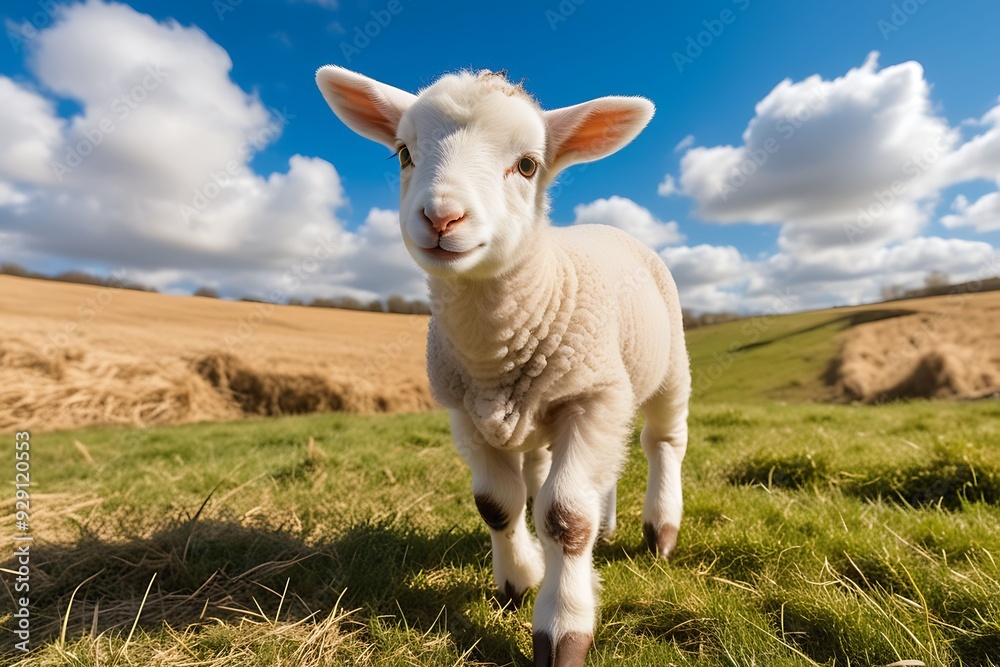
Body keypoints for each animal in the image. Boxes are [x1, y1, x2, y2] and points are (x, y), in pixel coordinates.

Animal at [316, 66, 690, 667]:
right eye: (404, 153)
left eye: (528, 165)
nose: (441, 217)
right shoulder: (466, 413)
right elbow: (496, 504)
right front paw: (517, 583)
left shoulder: (591, 396)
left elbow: (566, 516)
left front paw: (563, 626)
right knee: (573, 471)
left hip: (668, 365)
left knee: (662, 442)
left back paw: (660, 530)